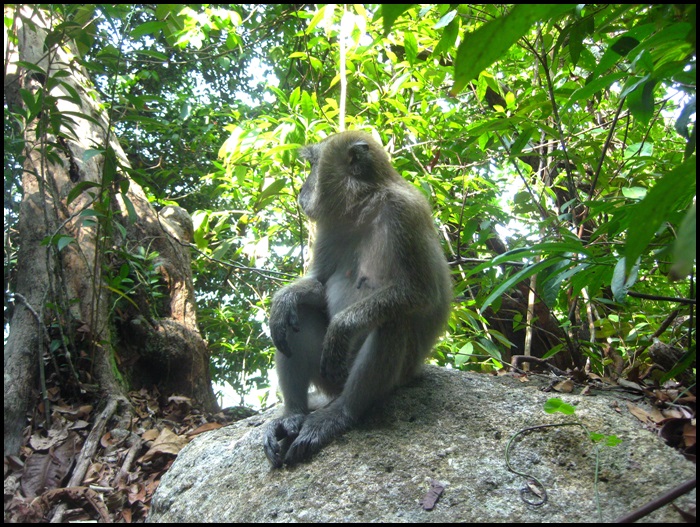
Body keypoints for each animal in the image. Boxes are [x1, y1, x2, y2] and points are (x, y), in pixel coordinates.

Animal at [264, 132, 454, 470]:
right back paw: (293, 415)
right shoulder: (330, 224)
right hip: (328, 381)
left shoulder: (404, 213)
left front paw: (342, 327)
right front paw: (286, 297)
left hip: (392, 376)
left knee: (392, 321)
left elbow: (420, 292)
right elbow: (318, 284)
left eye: (312, 165)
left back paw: (341, 414)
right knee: (297, 317)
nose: (302, 188)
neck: (364, 207)